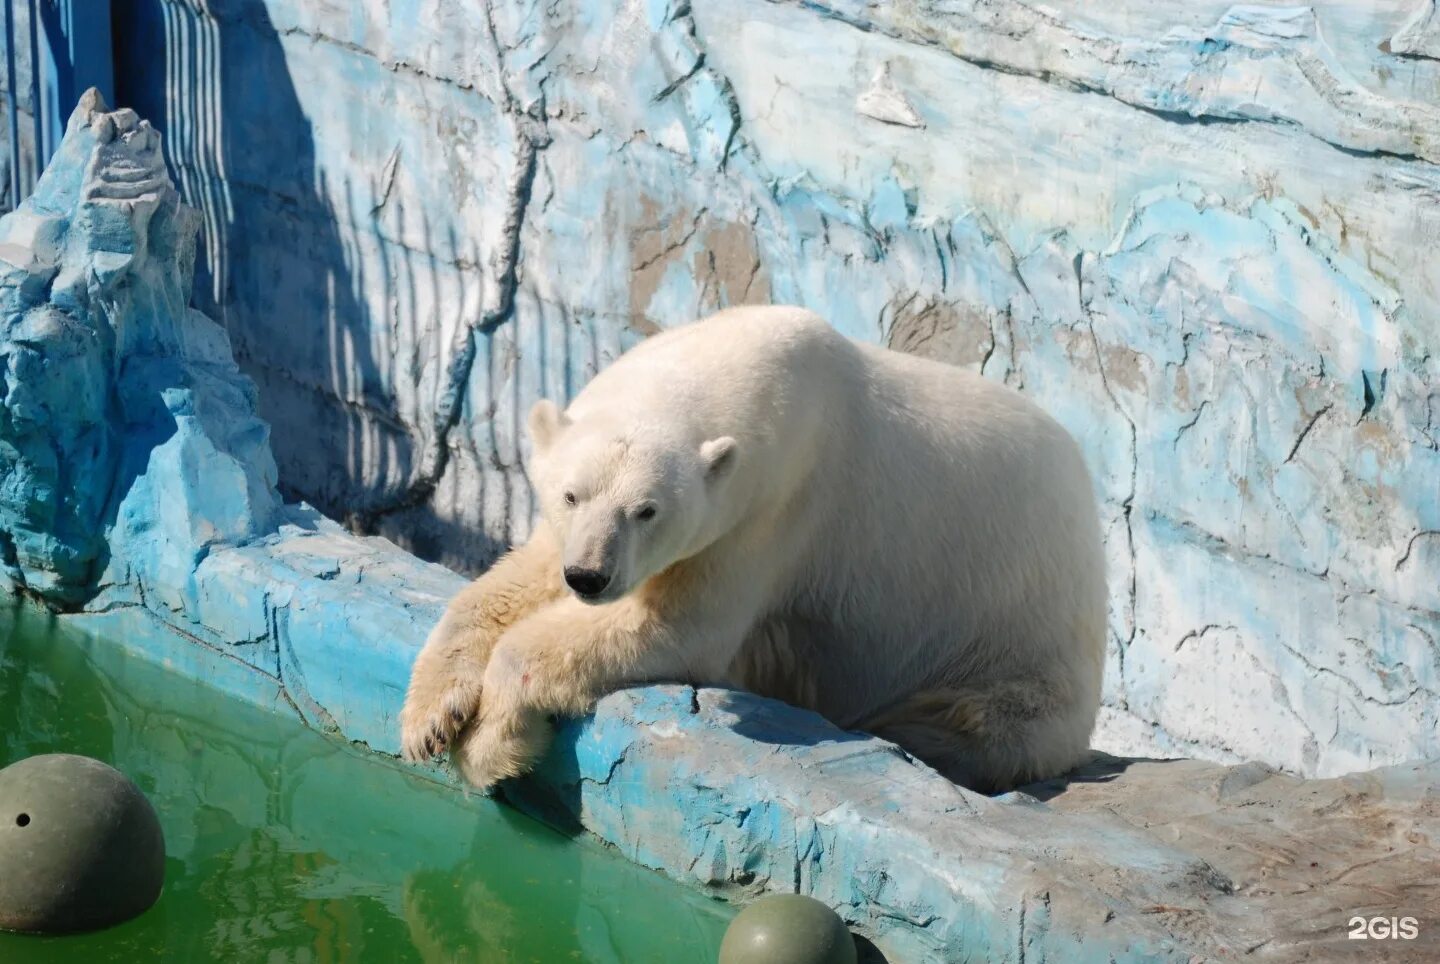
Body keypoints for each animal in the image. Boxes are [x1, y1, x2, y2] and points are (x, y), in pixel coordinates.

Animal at [400, 306, 1105, 789]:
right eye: (571, 494)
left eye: (647, 511)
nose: (590, 578)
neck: (742, 352)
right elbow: (512, 581)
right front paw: (430, 718)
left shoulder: (775, 508)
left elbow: (679, 627)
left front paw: (493, 745)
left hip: (1018, 641)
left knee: (978, 721)